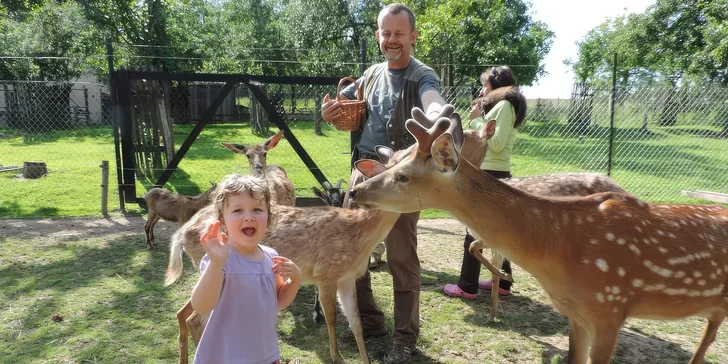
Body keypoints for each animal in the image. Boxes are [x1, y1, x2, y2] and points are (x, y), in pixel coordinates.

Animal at [348, 104, 728, 362]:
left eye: (403, 176)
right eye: (393, 163)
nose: (355, 190)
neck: (562, 248)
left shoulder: (610, 308)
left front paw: (499, 292)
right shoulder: (579, 315)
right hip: (715, 306)